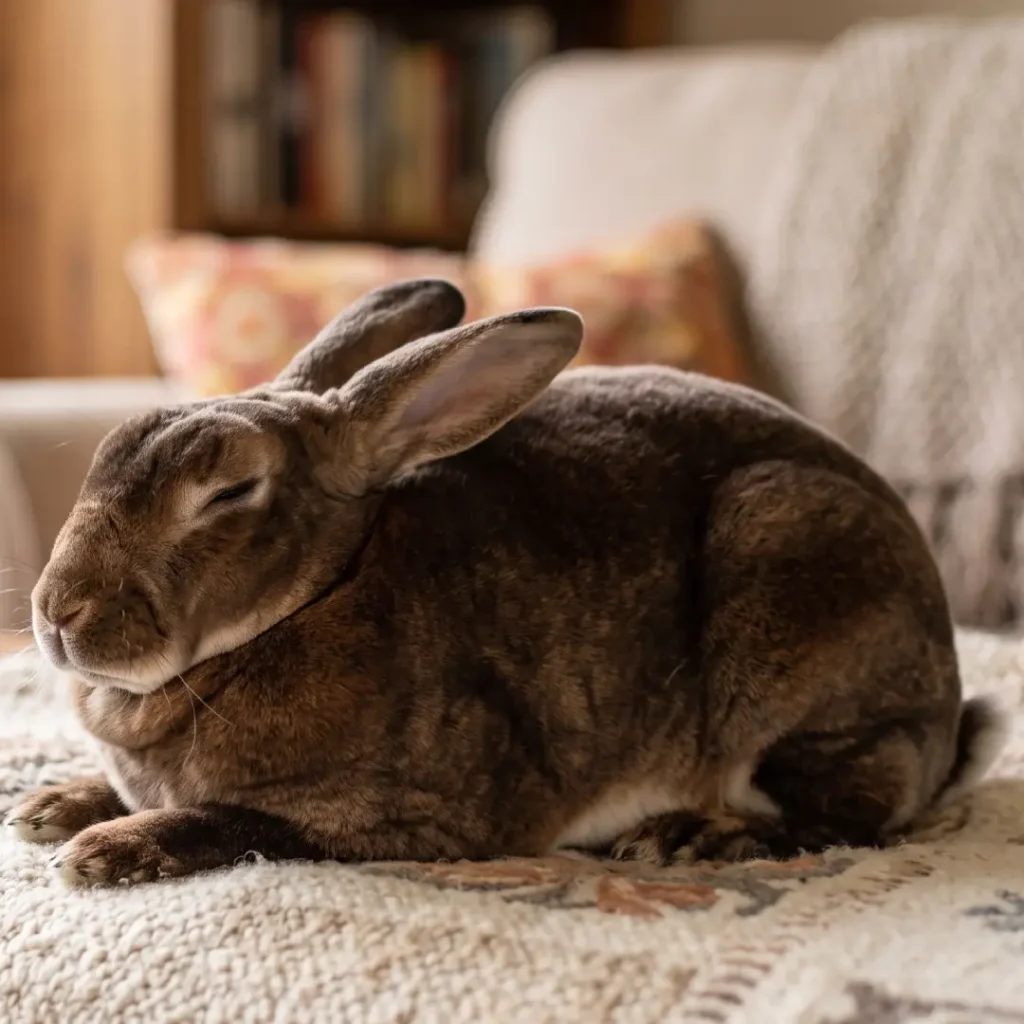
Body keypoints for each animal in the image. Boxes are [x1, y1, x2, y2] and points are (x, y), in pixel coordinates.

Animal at [6, 278, 1005, 887]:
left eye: (227, 491)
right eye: (105, 450)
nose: (56, 615)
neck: (319, 595)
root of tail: (947, 716)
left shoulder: (415, 825)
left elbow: (236, 822)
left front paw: (105, 849)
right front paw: (52, 804)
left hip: (791, 592)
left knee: (849, 813)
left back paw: (690, 836)